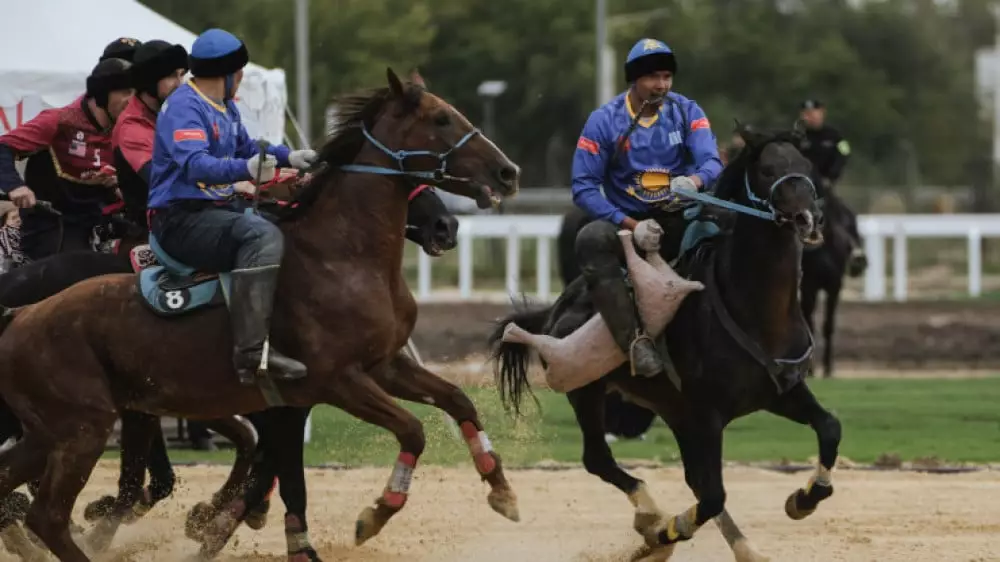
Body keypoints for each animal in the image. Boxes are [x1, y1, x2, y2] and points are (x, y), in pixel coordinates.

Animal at [0, 68, 524, 556]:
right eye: (441, 119)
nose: (507, 173)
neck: (342, 257)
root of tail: (21, 315)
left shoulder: (384, 367)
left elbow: (458, 400)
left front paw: (501, 489)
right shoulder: (338, 382)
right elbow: (409, 432)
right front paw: (374, 514)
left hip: (53, 431)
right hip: (83, 428)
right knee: (48, 515)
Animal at [492, 128, 844, 560]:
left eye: (806, 166)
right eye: (766, 170)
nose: (810, 219)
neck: (755, 311)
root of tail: (557, 308)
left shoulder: (782, 391)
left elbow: (829, 428)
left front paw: (804, 499)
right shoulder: (706, 415)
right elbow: (712, 495)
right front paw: (664, 532)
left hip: (672, 410)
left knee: (691, 480)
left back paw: (743, 547)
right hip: (588, 391)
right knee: (599, 459)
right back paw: (651, 517)